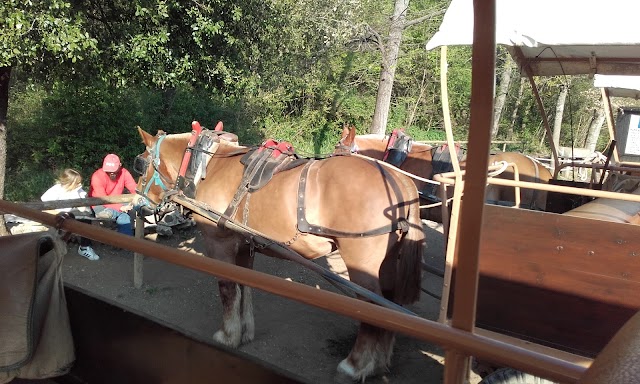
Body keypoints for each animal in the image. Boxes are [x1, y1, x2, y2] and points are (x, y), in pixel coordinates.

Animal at [135, 127, 424, 380]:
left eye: (140, 164)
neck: (210, 167)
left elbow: (227, 287)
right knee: (391, 306)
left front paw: (228, 335)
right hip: (388, 265)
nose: (138, 201)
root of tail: (401, 182)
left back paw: (355, 365)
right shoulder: (245, 244)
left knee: (372, 307)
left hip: (361, 264)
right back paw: (378, 363)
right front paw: (245, 332)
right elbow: (244, 285)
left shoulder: (220, 241)